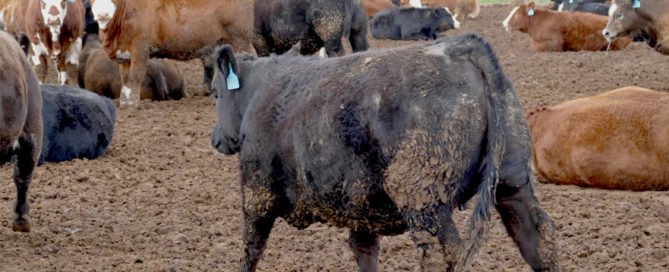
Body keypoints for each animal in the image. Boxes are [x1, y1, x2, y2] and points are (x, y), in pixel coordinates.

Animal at [87, 0, 253, 108]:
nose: (102, 14)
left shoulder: (140, 47)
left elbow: (135, 76)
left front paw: (132, 105)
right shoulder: (124, 55)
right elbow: (125, 78)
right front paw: (123, 102)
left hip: (240, 38)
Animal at [209, 34, 560, 272]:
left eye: (215, 93)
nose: (215, 139)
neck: (262, 92)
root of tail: (459, 48)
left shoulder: (257, 193)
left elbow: (251, 248)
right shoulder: (359, 204)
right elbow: (365, 251)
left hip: (423, 199)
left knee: (441, 252)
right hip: (513, 184)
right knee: (539, 237)